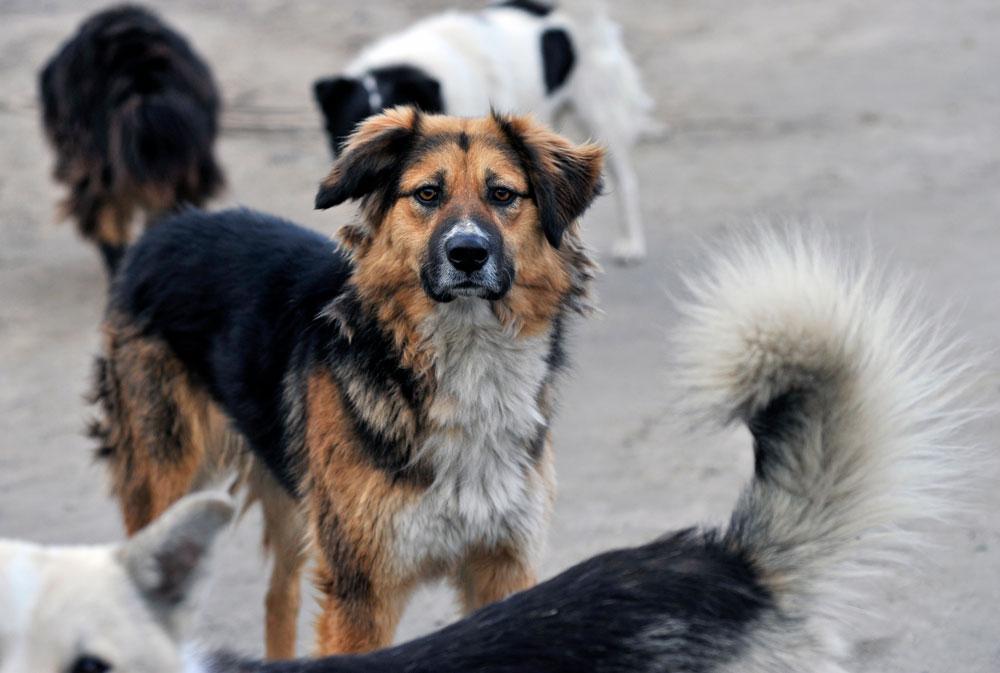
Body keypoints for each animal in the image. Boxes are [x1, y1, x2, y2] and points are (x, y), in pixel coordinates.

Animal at [92, 109, 600, 656]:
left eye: (503, 194)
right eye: (427, 194)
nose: (467, 253)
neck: (467, 354)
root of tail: (168, 228)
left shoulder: (504, 566)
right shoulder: (361, 589)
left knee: (279, 596)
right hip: (166, 478)